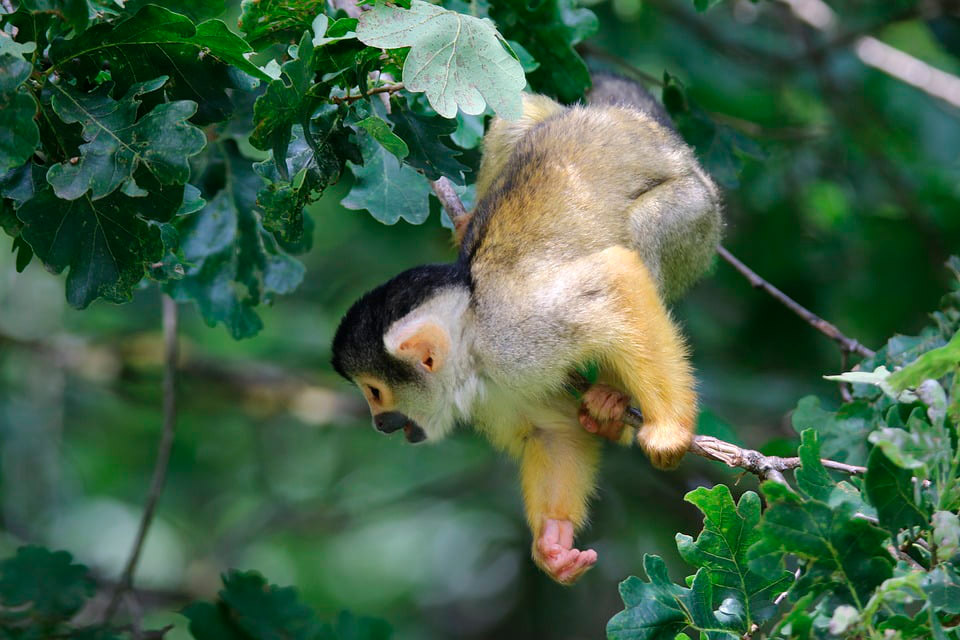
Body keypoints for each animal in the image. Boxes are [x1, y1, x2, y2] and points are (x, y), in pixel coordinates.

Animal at [331, 74, 721, 584]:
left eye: (375, 392)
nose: (379, 423)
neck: (474, 343)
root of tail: (669, 144)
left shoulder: (515, 337)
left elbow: (613, 279)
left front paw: (670, 429)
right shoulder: (501, 388)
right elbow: (552, 430)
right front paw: (553, 541)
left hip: (698, 215)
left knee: (645, 228)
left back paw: (614, 395)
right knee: (516, 114)